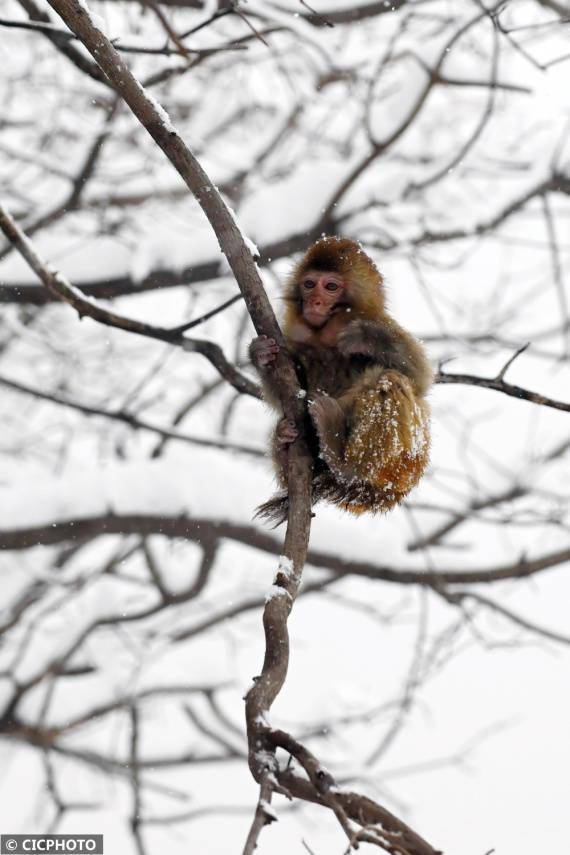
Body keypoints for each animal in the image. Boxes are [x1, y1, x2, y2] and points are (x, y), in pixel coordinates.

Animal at [250, 237, 430, 524]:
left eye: (331, 287)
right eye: (309, 284)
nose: (314, 302)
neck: (324, 339)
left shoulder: (383, 322)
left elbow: (422, 377)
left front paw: (365, 336)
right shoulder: (297, 341)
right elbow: (287, 393)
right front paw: (260, 355)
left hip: (405, 462)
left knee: (389, 380)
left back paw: (343, 461)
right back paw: (285, 444)